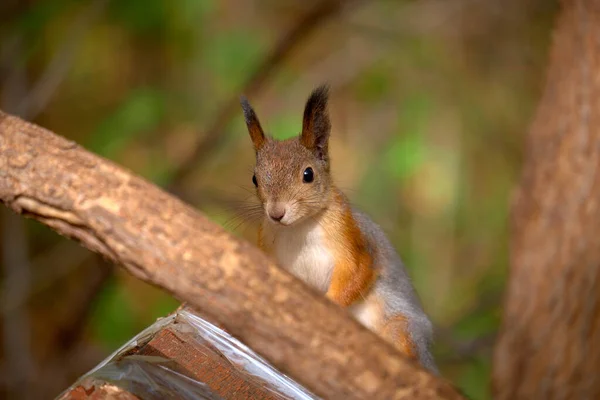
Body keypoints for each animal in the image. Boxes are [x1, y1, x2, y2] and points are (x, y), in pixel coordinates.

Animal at [240, 83, 440, 372]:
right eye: (255, 178)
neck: (299, 228)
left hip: (400, 331)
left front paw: (329, 304)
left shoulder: (349, 235)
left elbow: (358, 270)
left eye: (308, 174)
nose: (276, 213)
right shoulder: (267, 239)